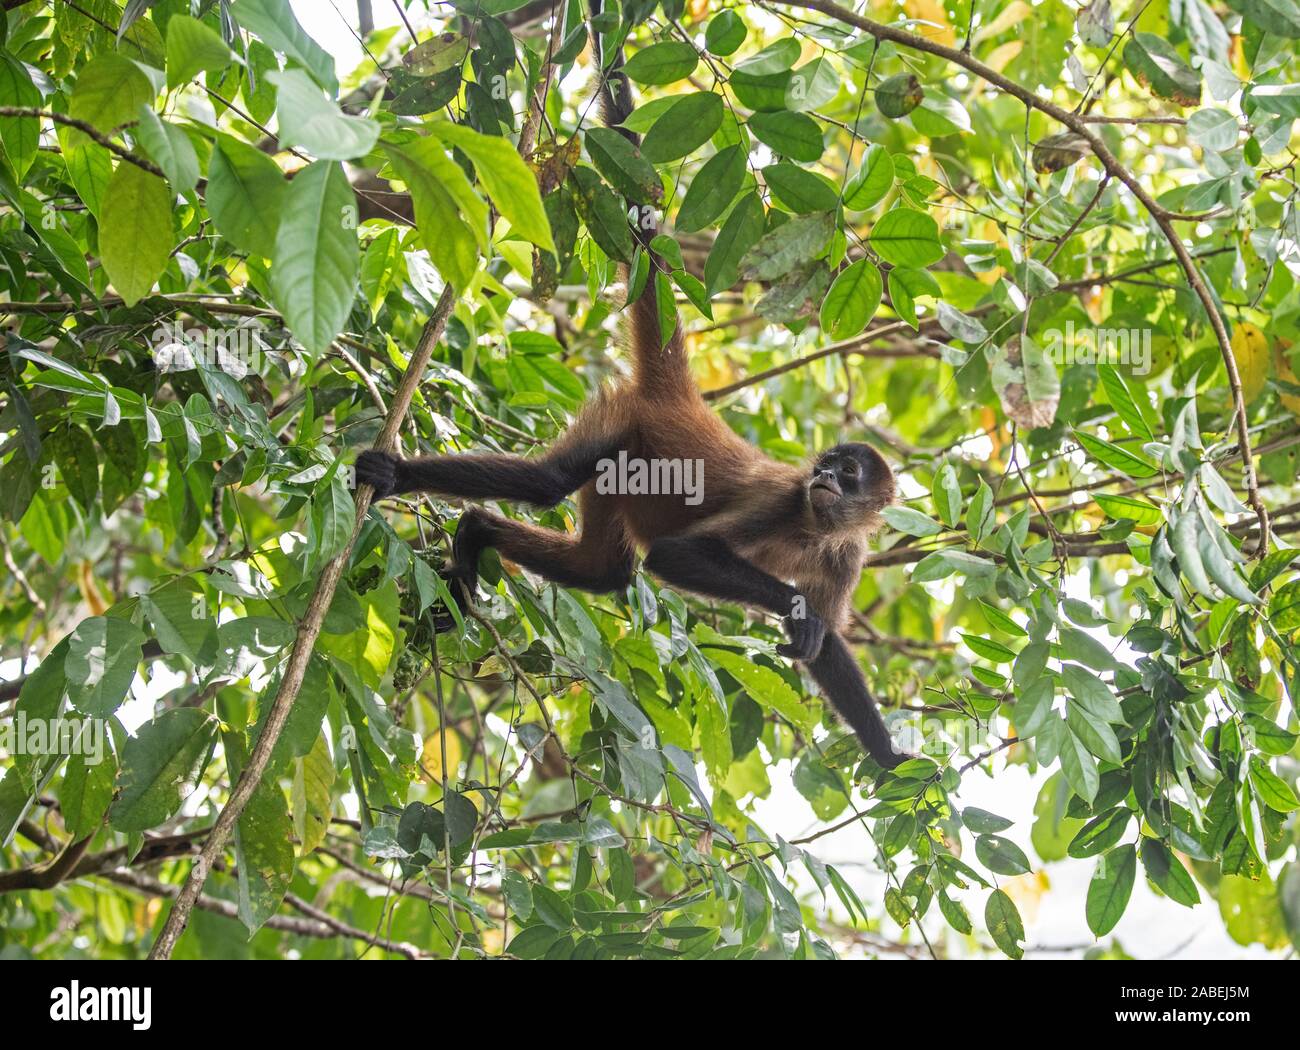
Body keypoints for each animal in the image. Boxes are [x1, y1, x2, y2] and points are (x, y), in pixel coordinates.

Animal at [353, 22, 904, 769]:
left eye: (846, 474)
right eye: (824, 467)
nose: (824, 477)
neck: (816, 529)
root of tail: (682, 401)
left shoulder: (847, 557)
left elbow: (830, 646)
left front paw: (895, 762)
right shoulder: (779, 500)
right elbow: (677, 557)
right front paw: (799, 612)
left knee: (604, 569)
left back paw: (476, 532)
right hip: (622, 427)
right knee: (551, 486)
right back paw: (402, 479)